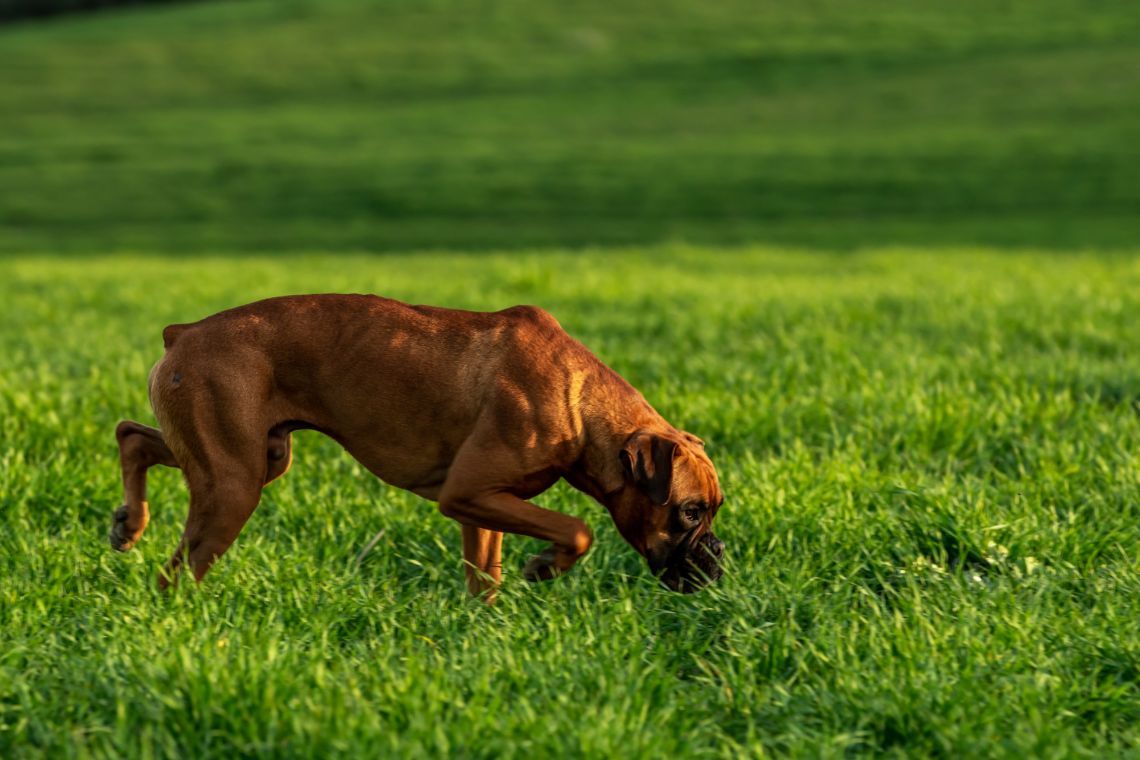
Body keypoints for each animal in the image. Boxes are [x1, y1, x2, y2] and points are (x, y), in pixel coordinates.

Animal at [111, 296, 725, 601]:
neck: (579, 401)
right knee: (173, 577)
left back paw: (128, 524)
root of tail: (185, 331)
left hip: (254, 461)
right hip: (232, 487)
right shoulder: (468, 493)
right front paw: (545, 568)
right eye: (688, 512)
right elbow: (577, 530)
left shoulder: (484, 506)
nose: (718, 556)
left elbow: (484, 577)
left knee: (132, 437)